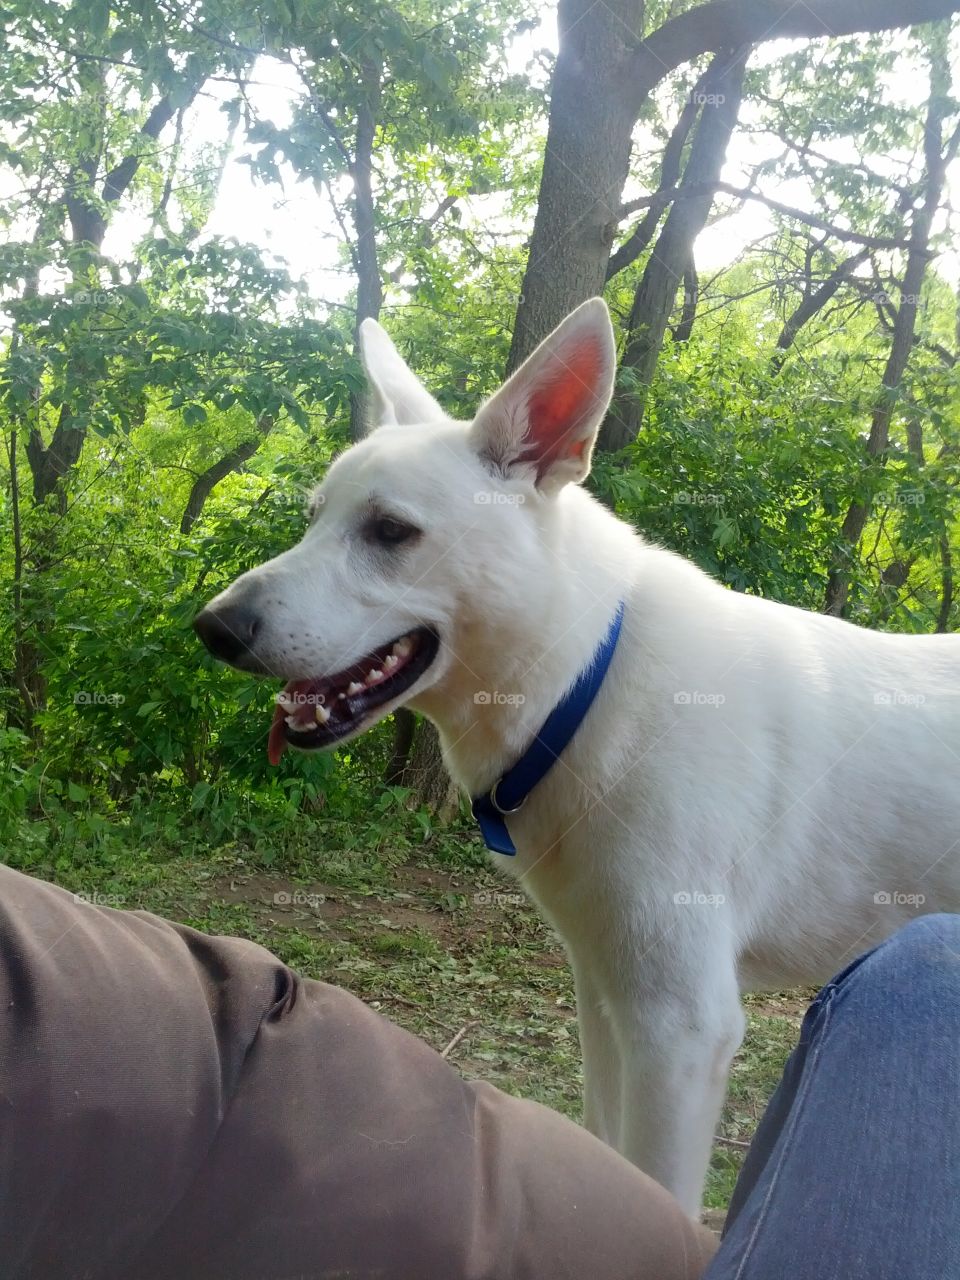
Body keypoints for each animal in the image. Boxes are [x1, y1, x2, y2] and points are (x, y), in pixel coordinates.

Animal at [195, 299, 960, 1218]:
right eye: (314, 517)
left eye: (389, 531)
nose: (212, 627)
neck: (587, 683)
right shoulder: (604, 992)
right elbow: (605, 1150)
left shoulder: (678, 1025)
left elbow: (657, 1192)